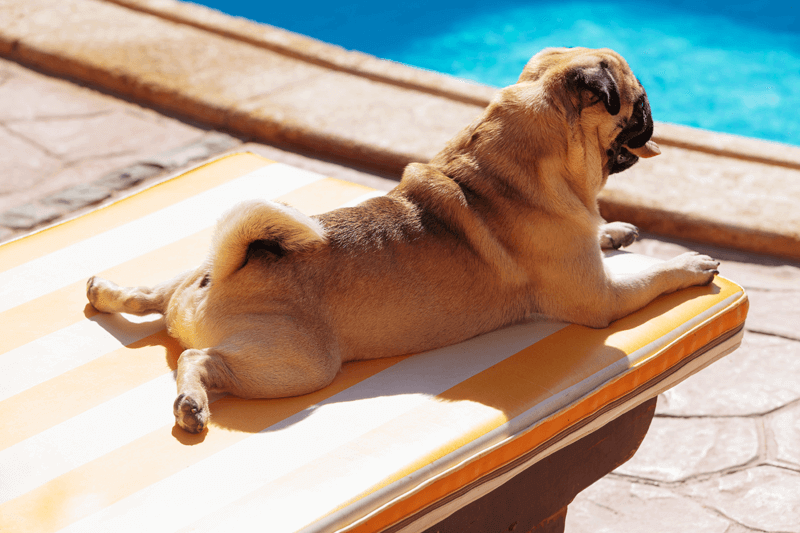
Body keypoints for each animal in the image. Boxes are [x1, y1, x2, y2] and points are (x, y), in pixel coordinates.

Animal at [86, 46, 720, 432]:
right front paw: (689, 263)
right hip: (299, 364)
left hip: (190, 280)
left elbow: (608, 239)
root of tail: (227, 269)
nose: (654, 116)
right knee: (198, 358)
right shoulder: (600, 299)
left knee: (153, 297)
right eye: (639, 102)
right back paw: (192, 402)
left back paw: (109, 291)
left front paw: (614, 228)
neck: (502, 171)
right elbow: (653, 273)